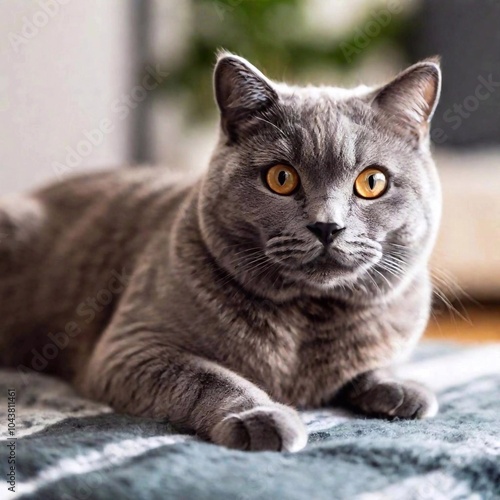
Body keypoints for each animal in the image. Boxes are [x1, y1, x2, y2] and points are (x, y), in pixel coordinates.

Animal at [0, 52, 442, 452]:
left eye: (372, 182)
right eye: (281, 178)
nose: (327, 226)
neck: (306, 322)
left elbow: (372, 364)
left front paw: (402, 389)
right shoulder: (131, 348)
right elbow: (211, 378)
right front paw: (263, 417)